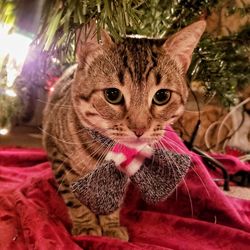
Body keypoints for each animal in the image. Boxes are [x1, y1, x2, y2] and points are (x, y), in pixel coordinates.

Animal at [43, 20, 206, 241]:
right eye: (112, 94)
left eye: (162, 96)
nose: (139, 129)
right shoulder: (59, 156)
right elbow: (74, 200)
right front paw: (86, 224)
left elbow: (113, 201)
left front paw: (111, 226)